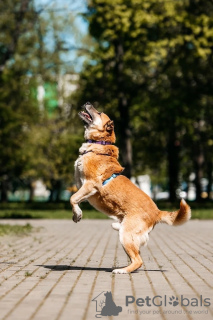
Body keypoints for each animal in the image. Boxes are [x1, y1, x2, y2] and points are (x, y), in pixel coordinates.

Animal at [70, 102, 191, 272]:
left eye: (98, 112)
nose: (87, 103)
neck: (98, 145)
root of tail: (157, 212)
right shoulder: (82, 186)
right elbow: (76, 198)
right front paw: (77, 214)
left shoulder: (90, 184)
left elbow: (72, 198)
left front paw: (77, 213)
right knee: (136, 257)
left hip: (126, 235)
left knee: (138, 261)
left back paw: (121, 270)